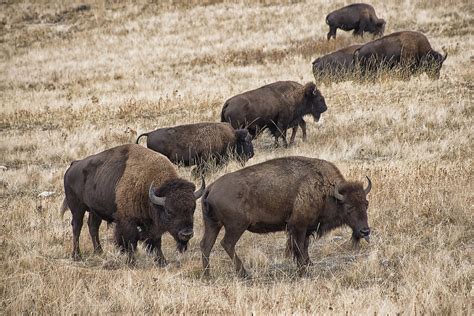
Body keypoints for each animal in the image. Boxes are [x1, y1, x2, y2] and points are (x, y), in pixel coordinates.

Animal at [60, 144, 205, 266]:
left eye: (193, 208)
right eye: (169, 211)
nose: (186, 234)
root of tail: (73, 165)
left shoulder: (152, 226)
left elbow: (156, 242)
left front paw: (162, 261)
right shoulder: (128, 221)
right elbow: (131, 241)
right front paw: (131, 262)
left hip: (94, 210)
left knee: (93, 227)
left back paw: (99, 252)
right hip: (77, 208)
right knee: (77, 227)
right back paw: (77, 256)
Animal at [198, 156, 372, 276]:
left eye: (366, 204)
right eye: (348, 207)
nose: (365, 231)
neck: (326, 191)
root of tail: (211, 187)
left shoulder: (306, 229)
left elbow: (304, 247)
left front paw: (309, 265)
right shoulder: (298, 227)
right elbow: (299, 247)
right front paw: (303, 270)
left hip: (213, 224)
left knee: (206, 245)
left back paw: (207, 274)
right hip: (236, 227)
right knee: (227, 244)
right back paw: (244, 273)